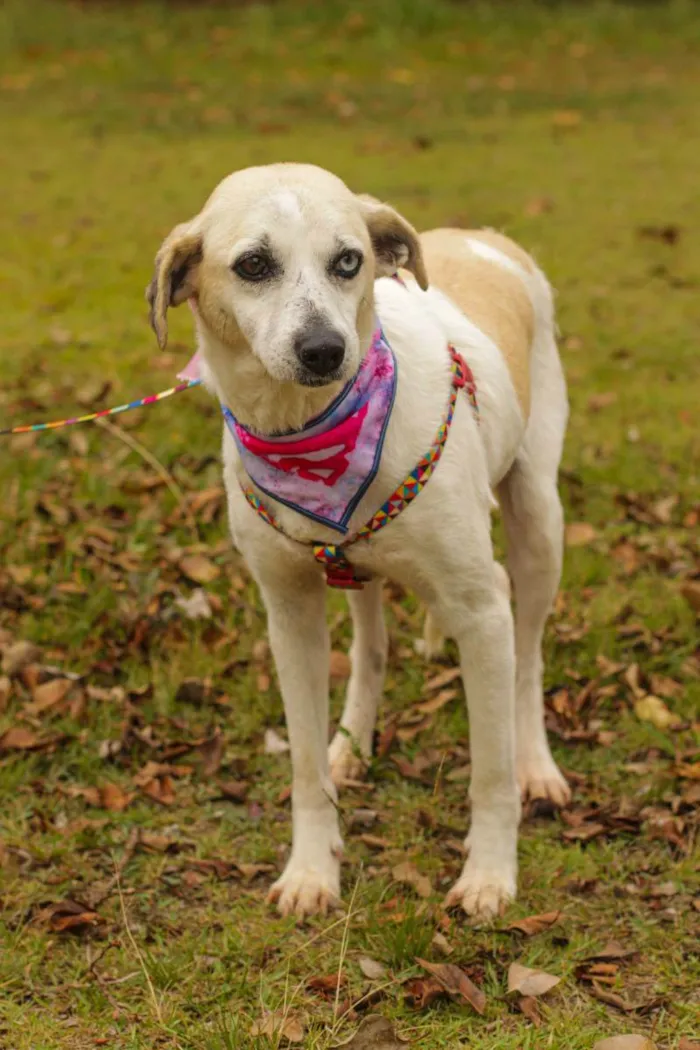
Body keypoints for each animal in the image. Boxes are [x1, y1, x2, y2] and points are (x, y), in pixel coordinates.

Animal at [146, 161, 570, 919]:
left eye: (348, 261)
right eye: (253, 265)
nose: (324, 350)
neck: (311, 435)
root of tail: (484, 235)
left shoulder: (482, 609)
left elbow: (488, 772)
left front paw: (490, 875)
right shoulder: (289, 612)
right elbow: (304, 765)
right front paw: (313, 870)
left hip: (539, 524)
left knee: (527, 658)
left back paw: (537, 764)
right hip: (356, 575)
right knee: (372, 648)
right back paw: (353, 743)